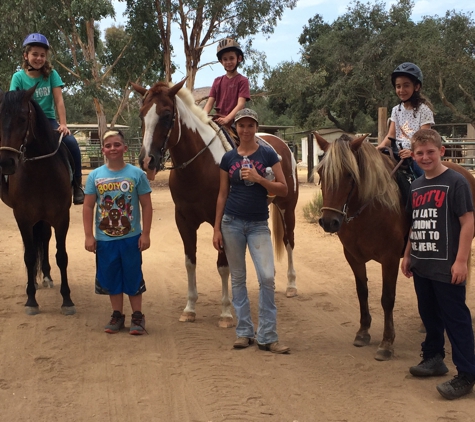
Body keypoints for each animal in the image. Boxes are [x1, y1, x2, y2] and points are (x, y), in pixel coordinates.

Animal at [0, 87, 75, 314]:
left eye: (23, 119)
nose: (6, 163)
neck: (40, 172)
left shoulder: (61, 217)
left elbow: (62, 256)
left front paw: (67, 300)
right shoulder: (23, 218)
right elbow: (30, 256)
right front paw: (31, 300)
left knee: (45, 238)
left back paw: (47, 276)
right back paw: (33, 280)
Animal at [132, 81, 300, 328]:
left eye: (166, 115)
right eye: (142, 115)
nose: (147, 160)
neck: (200, 166)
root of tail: (282, 144)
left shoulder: (221, 221)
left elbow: (223, 265)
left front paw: (226, 313)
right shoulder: (184, 220)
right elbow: (190, 262)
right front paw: (190, 308)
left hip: (288, 207)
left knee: (289, 242)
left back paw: (291, 285)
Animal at [316, 134, 475, 362]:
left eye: (349, 174)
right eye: (320, 172)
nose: (329, 222)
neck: (369, 209)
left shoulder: (389, 259)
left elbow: (387, 299)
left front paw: (386, 343)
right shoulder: (353, 257)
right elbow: (362, 292)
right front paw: (363, 332)